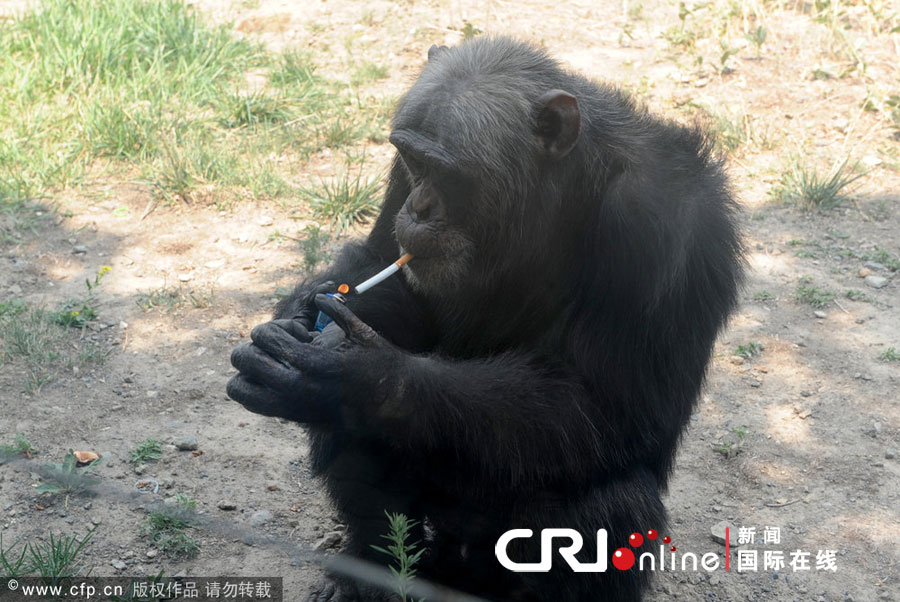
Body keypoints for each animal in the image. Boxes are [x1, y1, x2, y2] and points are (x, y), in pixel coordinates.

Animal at [227, 37, 744, 600]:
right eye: (413, 160)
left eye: (446, 173)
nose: (419, 206)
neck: (553, 189)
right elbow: (382, 264)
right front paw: (302, 318)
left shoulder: (663, 223)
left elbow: (613, 404)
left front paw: (357, 378)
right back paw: (372, 570)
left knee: (609, 505)